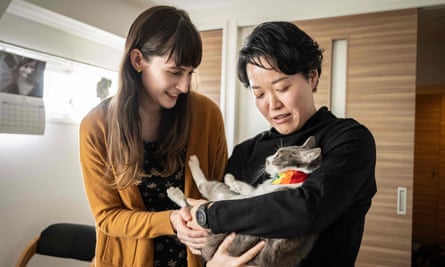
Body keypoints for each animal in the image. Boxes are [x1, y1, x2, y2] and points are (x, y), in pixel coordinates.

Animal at [166, 137, 320, 266]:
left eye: (278, 155)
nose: (266, 159)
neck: (292, 177)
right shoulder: (253, 192)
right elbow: (247, 187)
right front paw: (231, 179)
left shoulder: (245, 199)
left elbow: (208, 187)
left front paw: (227, 178)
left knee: (196, 199)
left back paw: (177, 187)